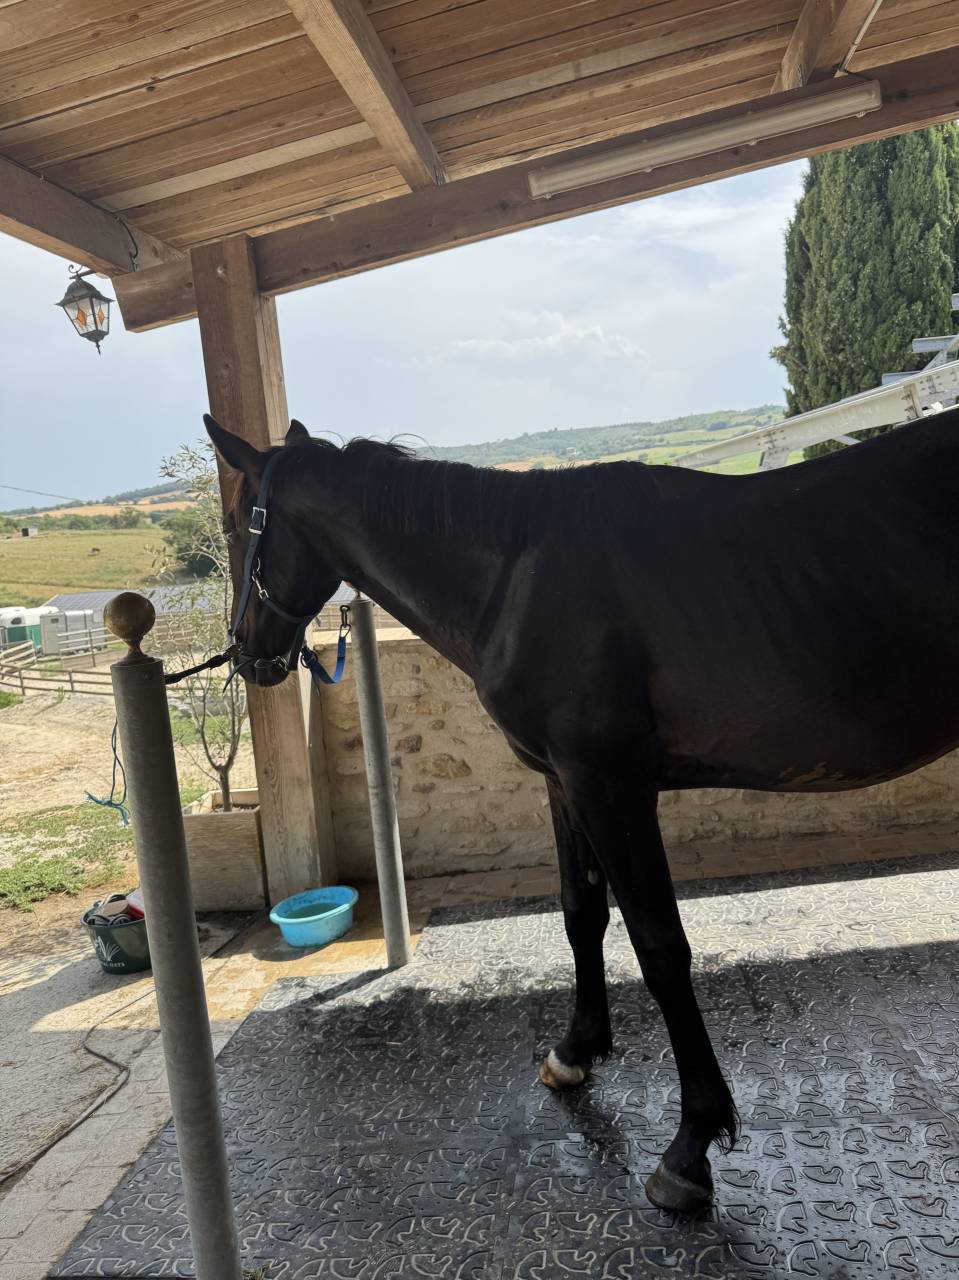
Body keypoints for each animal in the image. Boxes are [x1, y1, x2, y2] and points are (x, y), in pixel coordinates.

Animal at [205, 406, 959, 1214]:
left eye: (236, 524)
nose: (245, 653)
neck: (515, 578)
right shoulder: (566, 782)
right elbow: (580, 912)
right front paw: (575, 1051)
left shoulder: (611, 784)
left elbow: (659, 947)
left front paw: (690, 1145)